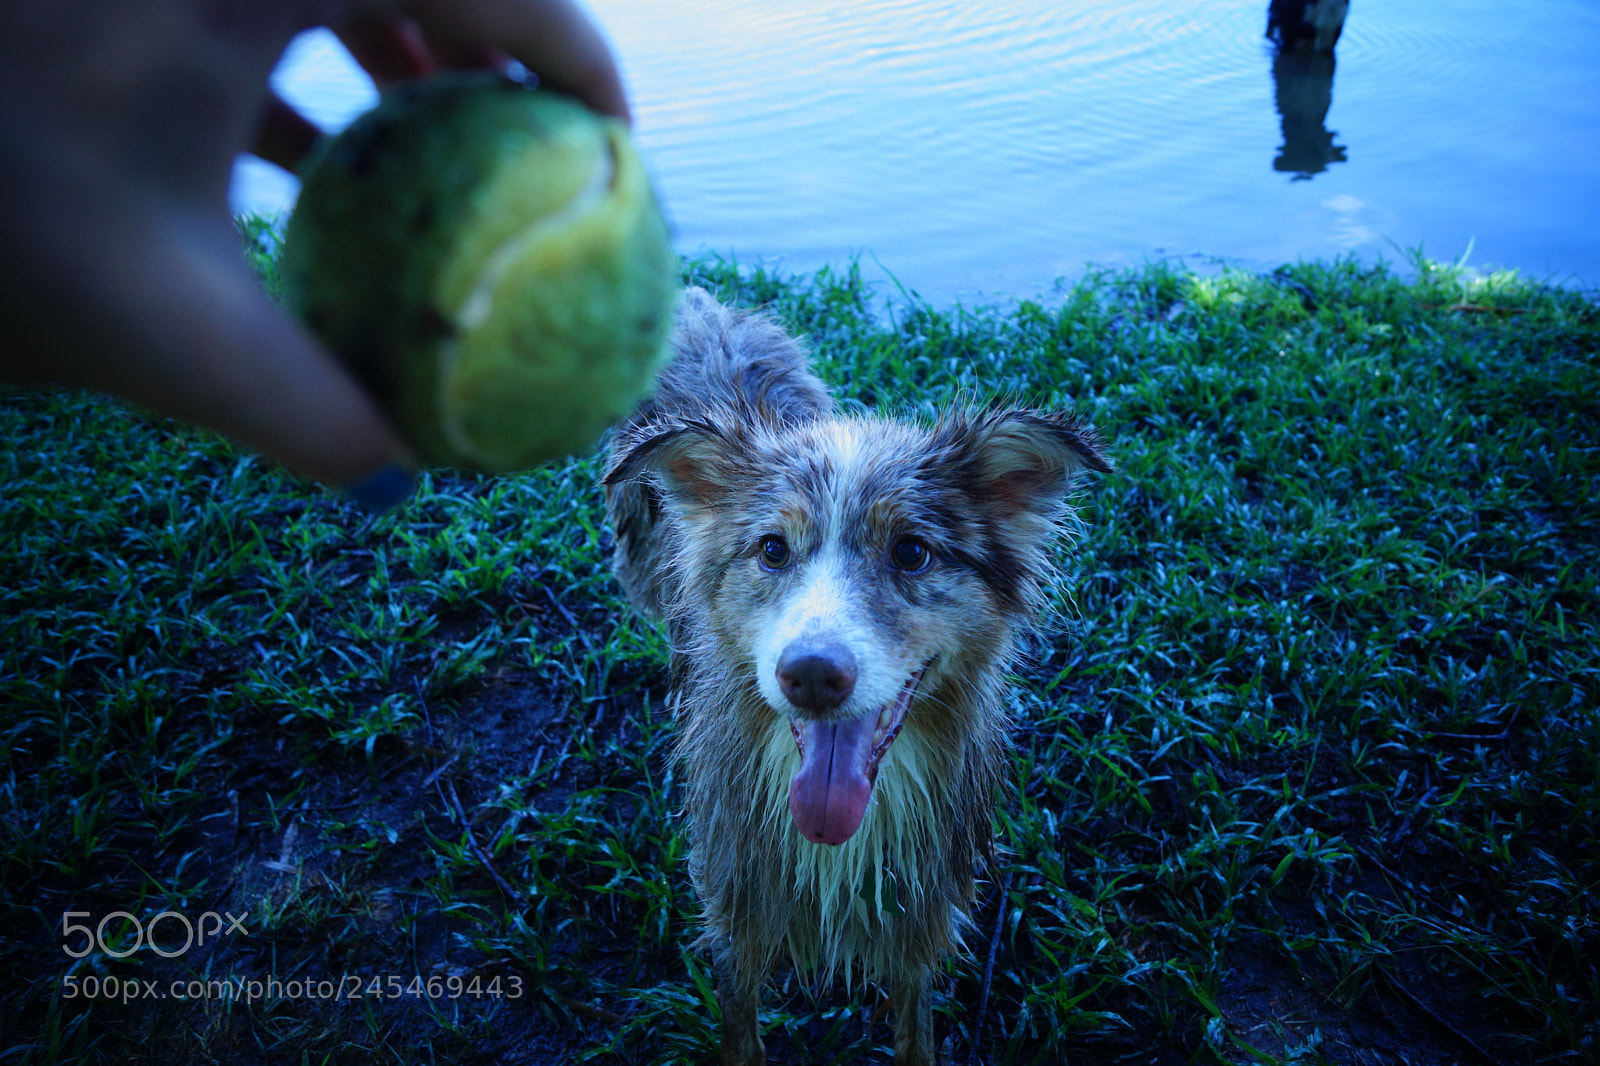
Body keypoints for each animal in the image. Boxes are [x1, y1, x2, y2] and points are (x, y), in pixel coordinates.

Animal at [604, 286, 1107, 1056]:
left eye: (911, 552)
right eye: (772, 549)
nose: (811, 675)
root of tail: (698, 304)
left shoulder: (923, 916)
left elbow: (914, 1030)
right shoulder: (736, 912)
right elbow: (741, 1032)